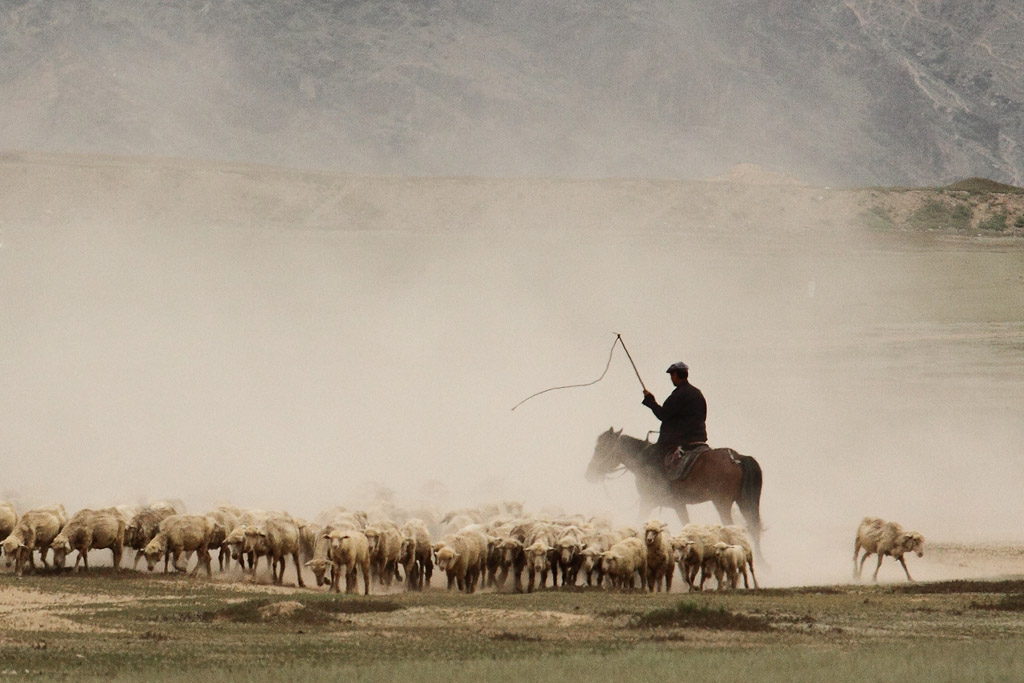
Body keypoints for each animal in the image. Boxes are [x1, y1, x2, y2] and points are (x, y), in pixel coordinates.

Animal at [585, 428, 761, 561]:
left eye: (600, 449)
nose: (590, 474)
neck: (643, 459)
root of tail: (737, 457)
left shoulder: (649, 502)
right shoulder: (678, 505)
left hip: (722, 503)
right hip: (744, 503)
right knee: (753, 527)